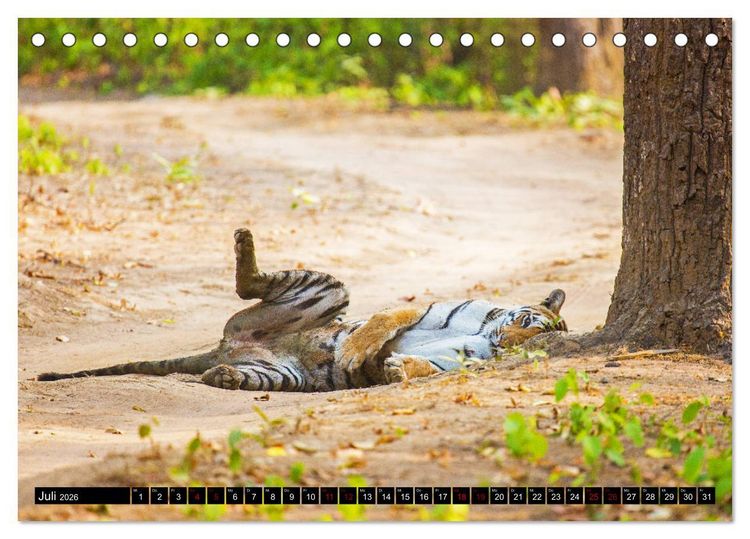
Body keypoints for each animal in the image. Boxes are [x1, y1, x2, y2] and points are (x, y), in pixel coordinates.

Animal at [37, 228, 568, 392]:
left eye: (540, 341)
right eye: (530, 323)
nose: (509, 342)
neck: (487, 335)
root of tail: (222, 347)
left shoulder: (454, 360)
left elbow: (424, 365)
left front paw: (394, 369)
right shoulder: (430, 310)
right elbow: (387, 320)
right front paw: (360, 352)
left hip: (280, 374)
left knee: (236, 370)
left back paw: (222, 377)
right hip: (327, 290)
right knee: (248, 281)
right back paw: (244, 242)